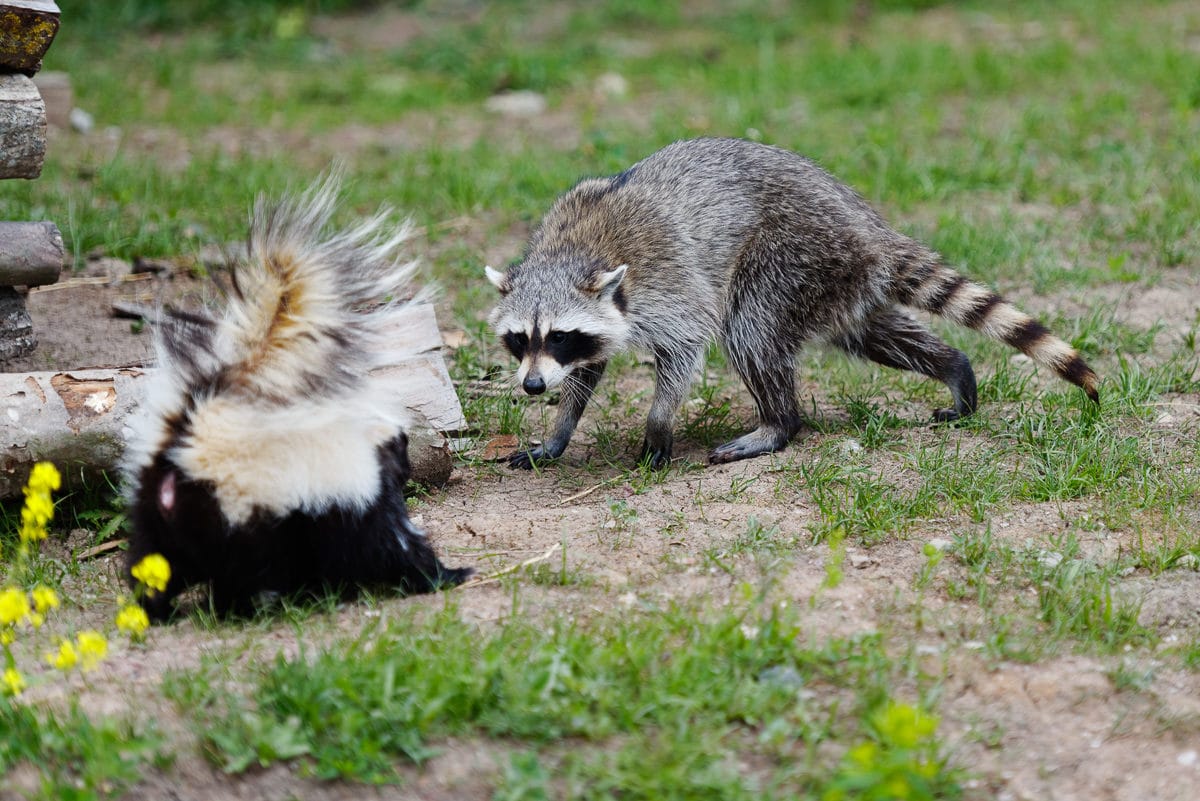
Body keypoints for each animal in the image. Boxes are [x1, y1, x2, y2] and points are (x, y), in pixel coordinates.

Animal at [124, 178, 470, 618]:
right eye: (402, 447)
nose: (407, 467)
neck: (362, 442)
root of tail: (187, 444)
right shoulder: (358, 504)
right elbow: (394, 547)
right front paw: (450, 574)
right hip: (234, 516)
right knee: (239, 573)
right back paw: (247, 607)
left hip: (155, 513)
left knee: (154, 562)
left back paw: (153, 609)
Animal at [484, 134, 1099, 465]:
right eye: (520, 340)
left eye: (559, 335)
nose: (532, 386)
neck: (571, 250)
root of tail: (869, 227)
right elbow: (587, 374)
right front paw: (559, 430)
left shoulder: (667, 285)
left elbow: (686, 345)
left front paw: (658, 424)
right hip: (838, 279)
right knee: (869, 330)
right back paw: (954, 367)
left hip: (793, 253)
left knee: (750, 330)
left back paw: (779, 423)